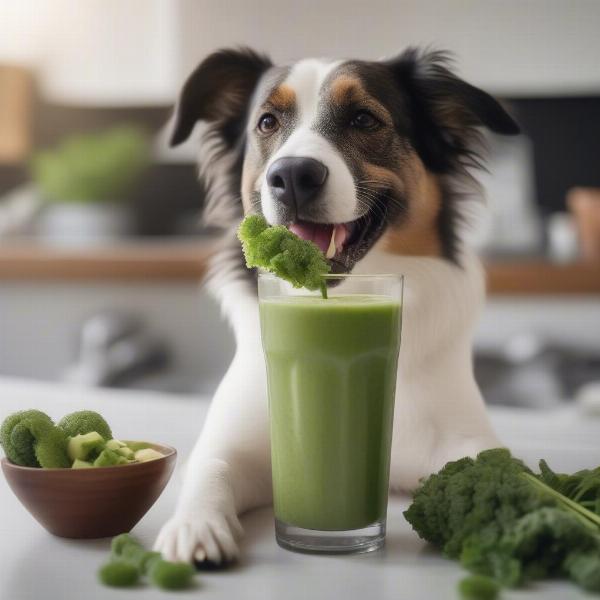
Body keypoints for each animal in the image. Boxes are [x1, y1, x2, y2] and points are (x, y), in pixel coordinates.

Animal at [154, 45, 520, 564]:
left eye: (364, 119)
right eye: (266, 122)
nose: (291, 175)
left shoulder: (469, 438)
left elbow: (499, 471)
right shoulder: (231, 442)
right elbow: (209, 468)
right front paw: (193, 527)